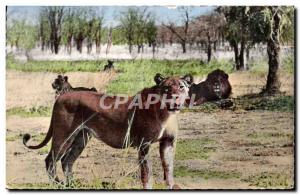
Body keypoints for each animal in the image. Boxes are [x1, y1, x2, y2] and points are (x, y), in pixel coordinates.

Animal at [23, 73, 192, 189]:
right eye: (167, 88)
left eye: (181, 87)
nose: (175, 98)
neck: (167, 113)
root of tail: (61, 96)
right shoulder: (144, 145)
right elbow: (147, 172)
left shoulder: (168, 143)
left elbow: (169, 169)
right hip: (64, 135)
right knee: (50, 160)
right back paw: (58, 185)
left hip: (81, 138)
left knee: (67, 160)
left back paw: (72, 185)